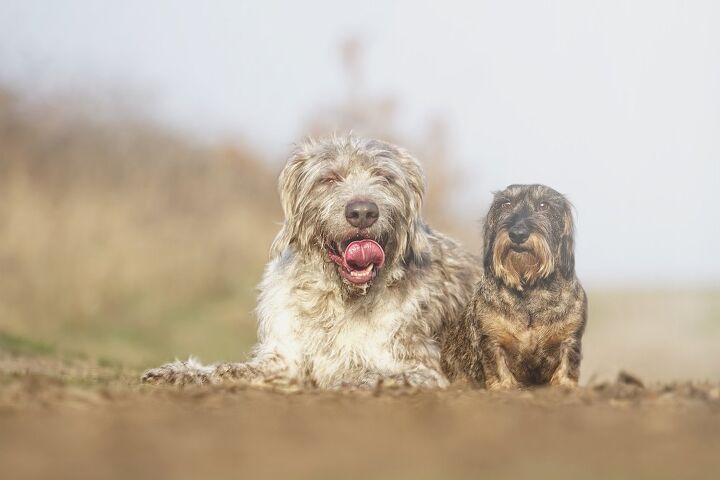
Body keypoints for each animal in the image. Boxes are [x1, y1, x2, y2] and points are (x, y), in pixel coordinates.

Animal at [142, 133, 478, 388]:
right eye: (328, 178)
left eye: (385, 177)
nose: (362, 212)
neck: (337, 297)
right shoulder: (283, 357)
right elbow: (231, 370)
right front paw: (181, 373)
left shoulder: (419, 368)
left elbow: (371, 375)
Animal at [442, 184, 588, 390]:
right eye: (506, 204)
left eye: (544, 205)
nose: (518, 234)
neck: (530, 290)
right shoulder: (493, 342)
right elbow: (501, 374)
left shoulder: (569, 341)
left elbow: (566, 371)